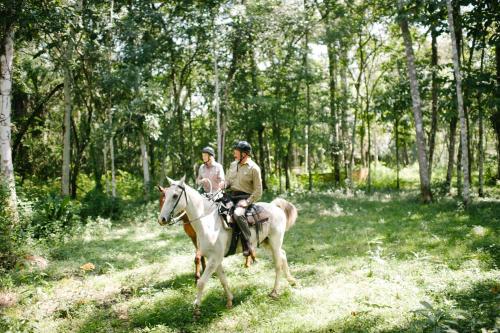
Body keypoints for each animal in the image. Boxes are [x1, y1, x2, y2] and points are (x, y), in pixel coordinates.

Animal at [158, 175, 296, 316]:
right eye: (165, 195)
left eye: (175, 196)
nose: (162, 219)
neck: (207, 222)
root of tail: (275, 206)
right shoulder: (214, 259)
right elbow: (223, 280)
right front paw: (229, 301)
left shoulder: (214, 259)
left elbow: (201, 283)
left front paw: (196, 308)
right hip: (266, 243)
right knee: (283, 255)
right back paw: (291, 281)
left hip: (275, 241)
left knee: (278, 264)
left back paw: (274, 292)